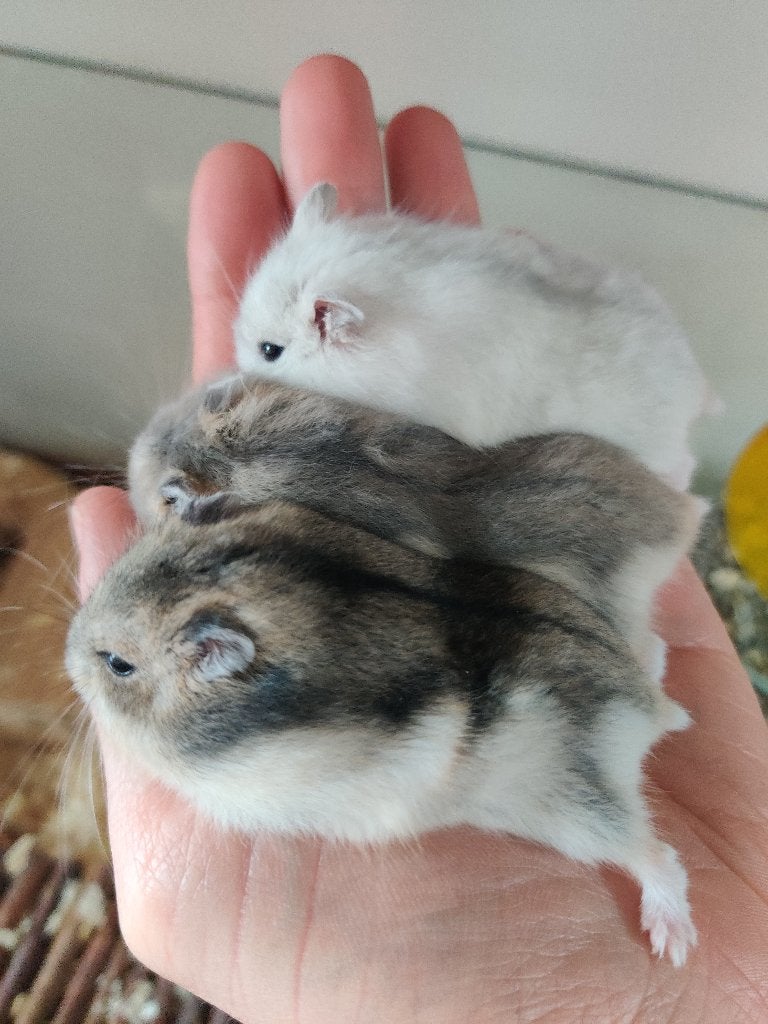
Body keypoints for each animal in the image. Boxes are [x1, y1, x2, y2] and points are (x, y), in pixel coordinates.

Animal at [66, 502, 696, 965]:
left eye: (117, 664)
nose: (67, 654)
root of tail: (647, 707)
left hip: (575, 808)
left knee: (656, 853)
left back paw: (673, 943)